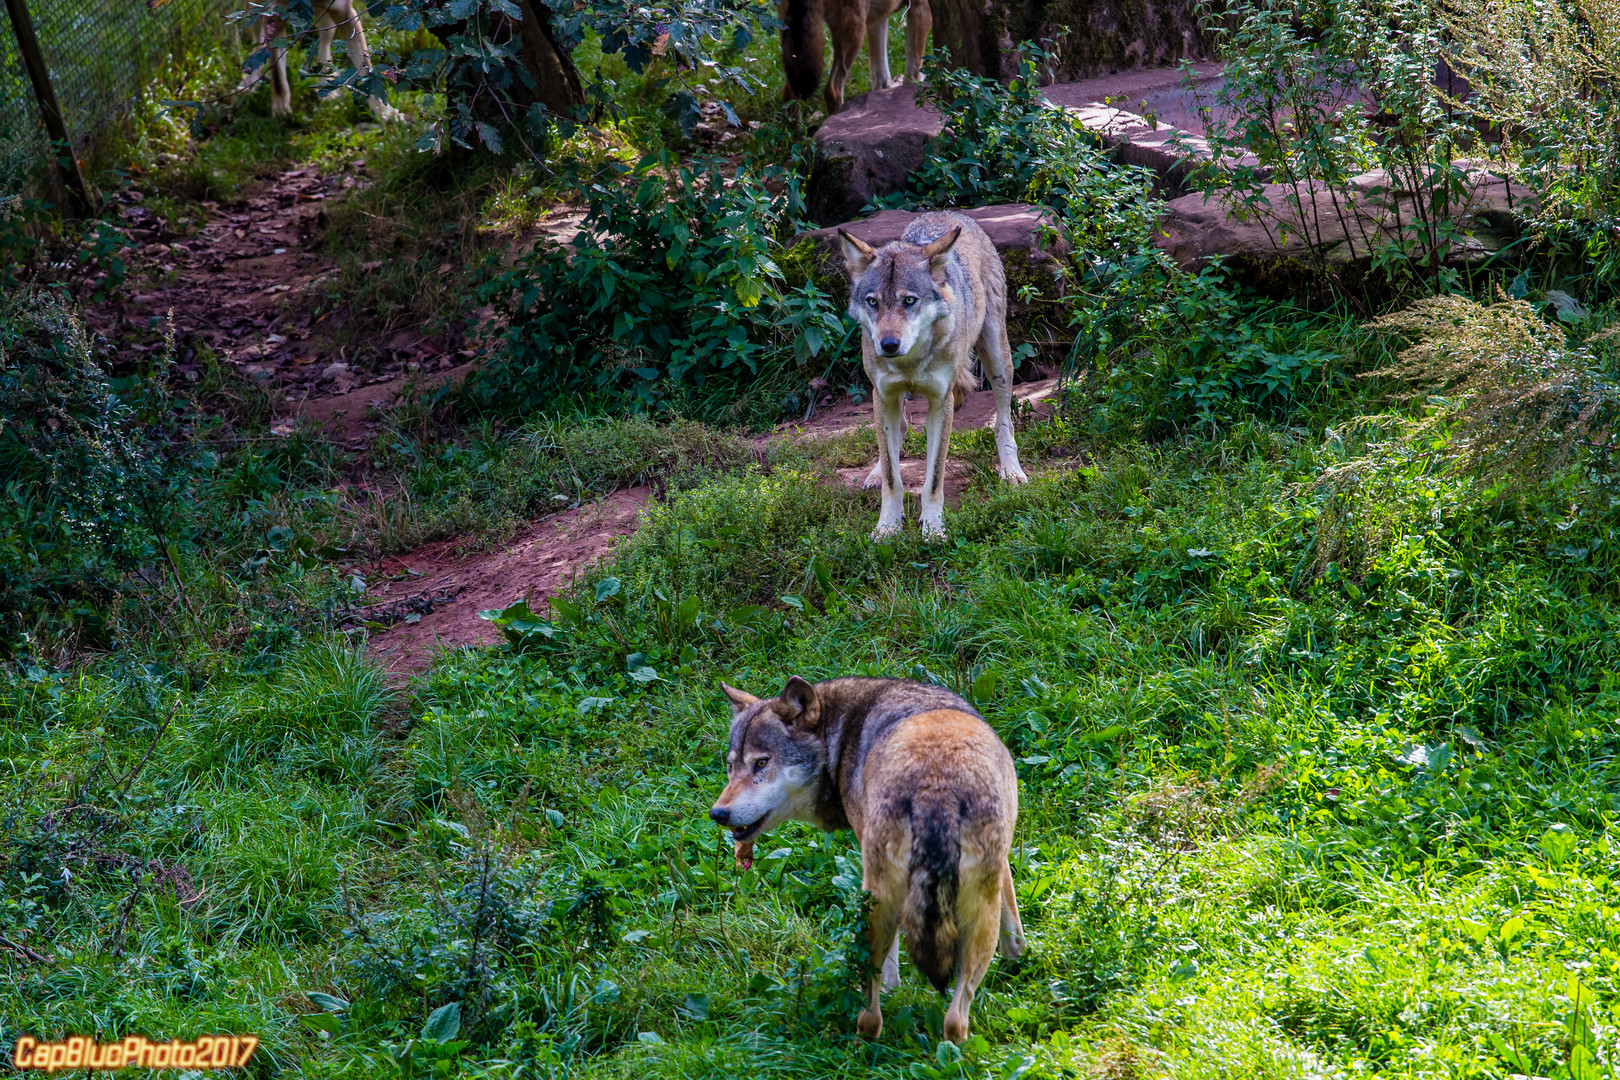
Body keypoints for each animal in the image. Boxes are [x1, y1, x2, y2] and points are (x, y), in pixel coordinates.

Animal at [239, 0, 405, 122]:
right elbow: (278, 78)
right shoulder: (274, 17)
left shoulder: (346, 13)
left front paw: (384, 113)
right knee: (257, 41)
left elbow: (366, 72)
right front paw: (281, 112)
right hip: (252, 10)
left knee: (325, 39)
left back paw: (328, 88)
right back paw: (248, 83)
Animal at [709, 680, 1023, 1042]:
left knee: (873, 1011)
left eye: (760, 763)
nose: (718, 814)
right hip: (972, 913)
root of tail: (937, 787)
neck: (842, 735)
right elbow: (1012, 911)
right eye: (731, 766)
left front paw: (893, 989)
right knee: (955, 1019)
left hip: (871, 905)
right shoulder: (999, 866)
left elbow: (890, 965)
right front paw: (1016, 957)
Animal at [780, 0, 933, 114]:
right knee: (832, 90)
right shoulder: (921, 9)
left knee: (790, 93)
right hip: (854, 33)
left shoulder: (878, 19)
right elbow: (913, 75)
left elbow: (882, 81)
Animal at [842, 210, 1030, 540]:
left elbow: (933, 479)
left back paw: (1011, 471)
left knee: (1003, 423)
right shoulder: (884, 395)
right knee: (898, 432)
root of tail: (951, 214)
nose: (888, 345)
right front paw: (887, 528)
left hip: (997, 358)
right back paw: (875, 472)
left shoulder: (941, 402)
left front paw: (933, 530)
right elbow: (892, 476)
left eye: (909, 301)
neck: (911, 363)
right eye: (873, 302)